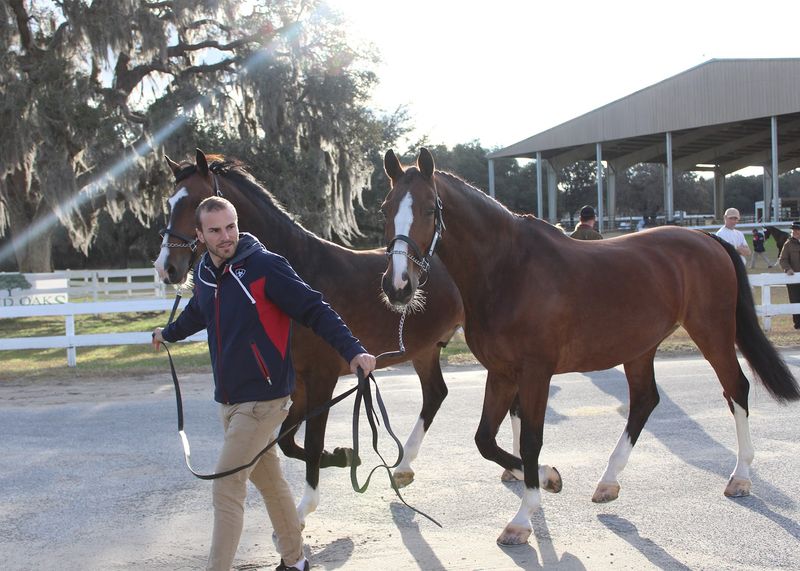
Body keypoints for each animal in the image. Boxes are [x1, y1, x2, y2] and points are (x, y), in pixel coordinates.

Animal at [379, 148, 800, 546]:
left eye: (430, 208)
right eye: (385, 208)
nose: (397, 285)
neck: (509, 269)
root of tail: (708, 239)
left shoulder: (536, 373)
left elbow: (530, 441)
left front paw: (522, 518)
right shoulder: (501, 373)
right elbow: (485, 440)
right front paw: (549, 477)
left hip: (712, 332)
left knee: (735, 389)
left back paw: (740, 476)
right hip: (640, 347)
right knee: (645, 401)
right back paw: (608, 482)